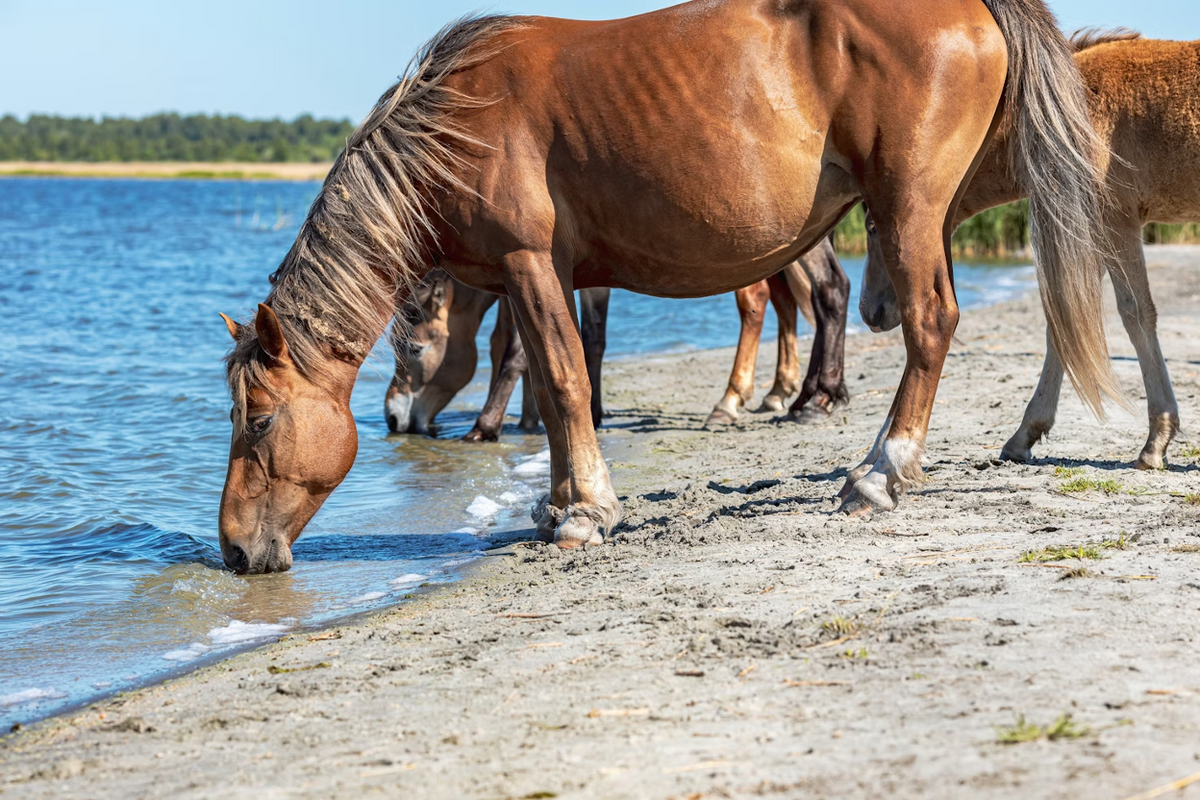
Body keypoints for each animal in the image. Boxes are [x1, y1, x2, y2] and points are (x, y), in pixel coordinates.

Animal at [384, 280, 608, 441]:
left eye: (416, 349)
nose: (392, 418)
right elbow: (501, 342)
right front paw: (528, 419)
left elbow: (517, 353)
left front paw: (485, 426)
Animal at [859, 31, 1196, 470]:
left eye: (872, 226)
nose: (869, 312)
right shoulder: (1085, 231)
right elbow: (1064, 325)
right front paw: (1024, 435)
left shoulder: (1114, 222)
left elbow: (1135, 315)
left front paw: (1156, 441)